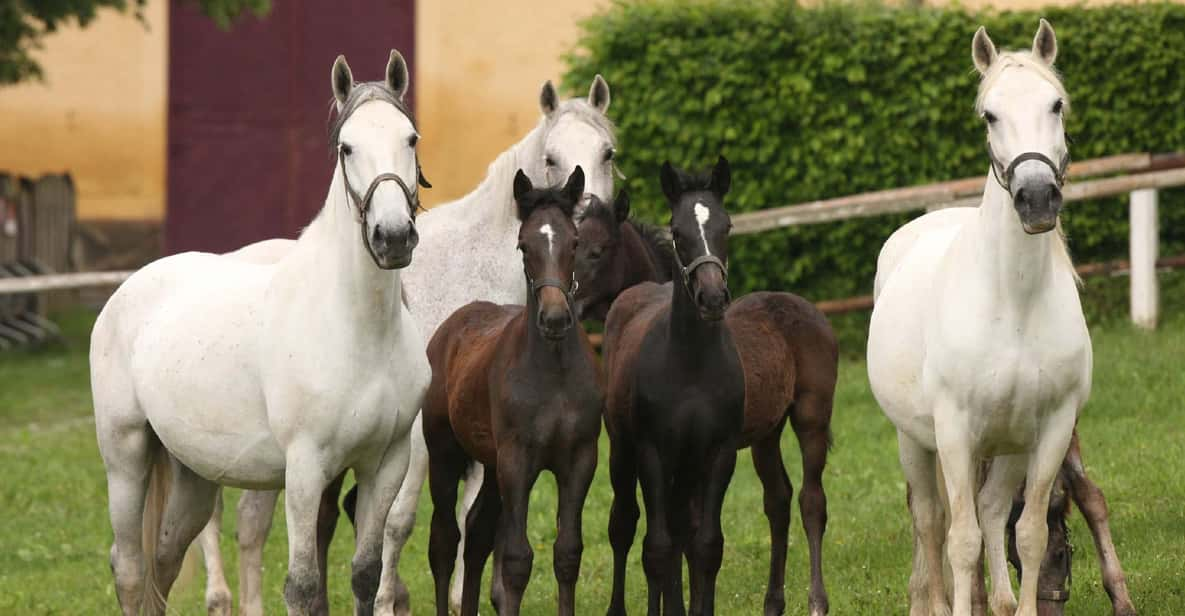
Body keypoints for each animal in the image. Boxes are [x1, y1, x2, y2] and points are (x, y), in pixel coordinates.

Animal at [91, 53, 436, 616]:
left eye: (411, 138)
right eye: (346, 147)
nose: (392, 238)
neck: (355, 328)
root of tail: (128, 290)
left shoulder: (385, 463)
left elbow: (364, 575)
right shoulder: (305, 469)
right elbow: (302, 585)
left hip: (191, 477)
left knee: (163, 563)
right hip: (125, 458)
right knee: (130, 569)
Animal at [421, 167, 601, 616]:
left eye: (575, 242)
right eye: (524, 245)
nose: (554, 318)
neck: (554, 373)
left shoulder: (580, 459)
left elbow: (567, 553)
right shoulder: (518, 461)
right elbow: (518, 560)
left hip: (490, 464)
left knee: (476, 533)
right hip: (446, 456)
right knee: (444, 542)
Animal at [867, 19, 1085, 616]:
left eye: (1056, 104)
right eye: (990, 114)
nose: (1037, 198)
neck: (1013, 302)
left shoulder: (1049, 430)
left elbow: (1028, 533)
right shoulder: (955, 432)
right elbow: (959, 541)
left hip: (1006, 449)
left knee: (990, 513)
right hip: (916, 442)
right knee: (930, 521)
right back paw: (933, 601)